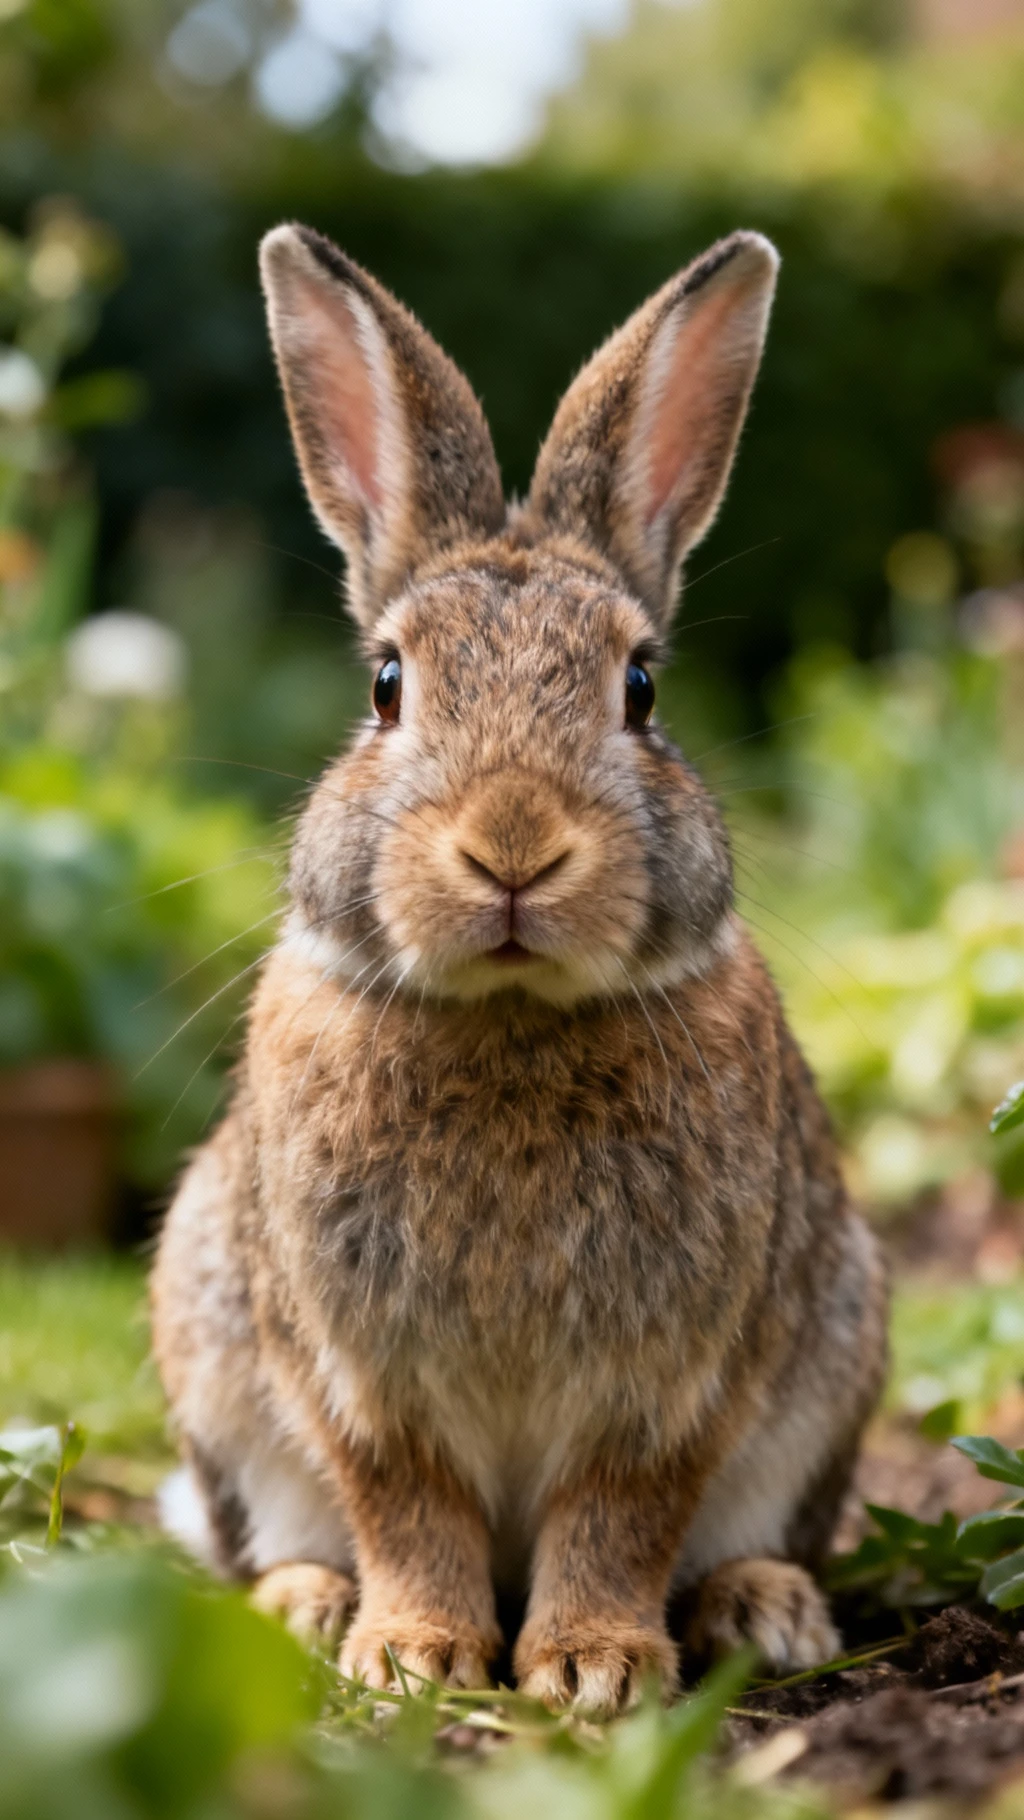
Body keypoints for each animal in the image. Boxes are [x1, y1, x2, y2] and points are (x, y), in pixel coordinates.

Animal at [151, 221, 887, 1717]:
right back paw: (306, 1607)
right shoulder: (354, 1365)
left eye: (642, 688)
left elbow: (619, 1510)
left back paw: (763, 1610)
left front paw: (595, 1666)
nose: (512, 846)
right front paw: (418, 1654)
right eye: (385, 685)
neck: (506, 1015)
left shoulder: (674, 1377)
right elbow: (403, 1501)